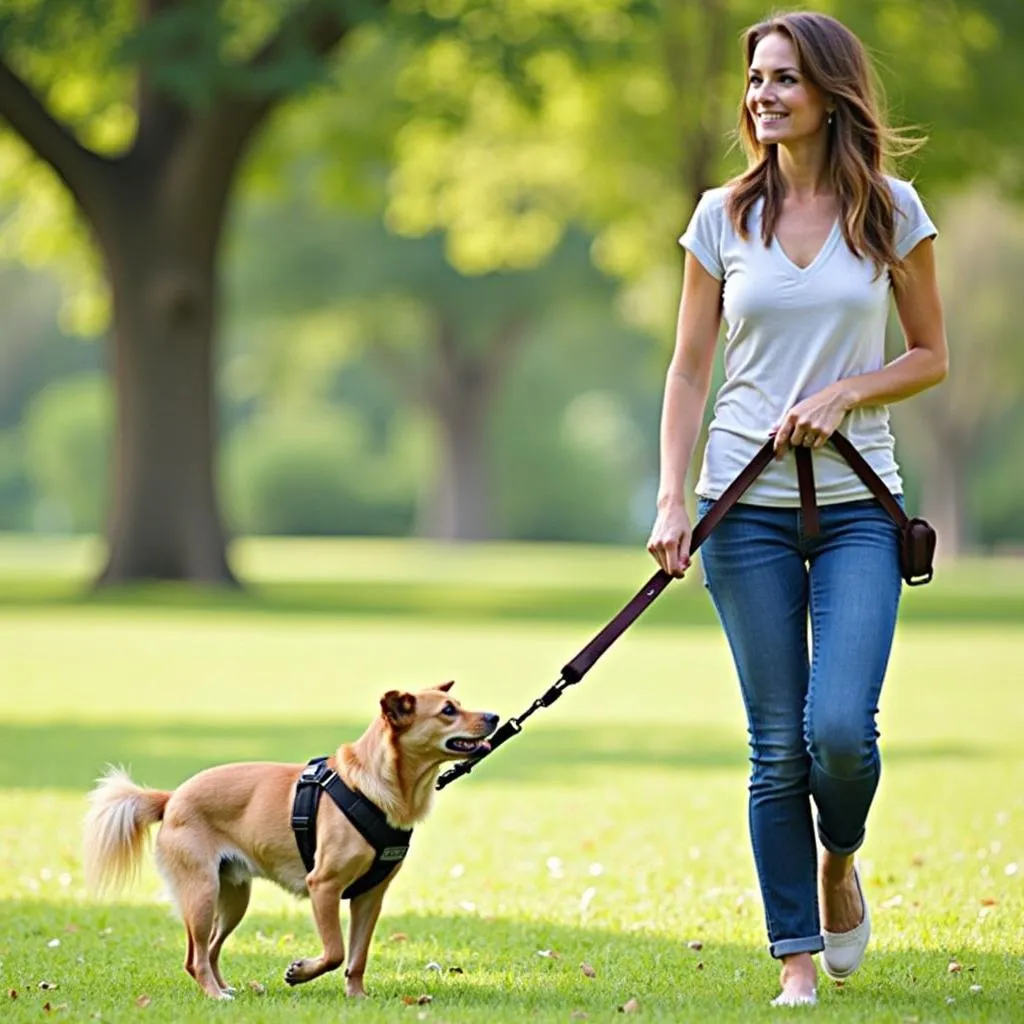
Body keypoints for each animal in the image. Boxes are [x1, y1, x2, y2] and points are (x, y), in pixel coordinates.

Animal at [82, 679, 495, 999]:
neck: (373, 787)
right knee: (196, 957)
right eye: (448, 711)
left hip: (234, 898)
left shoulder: (369, 897)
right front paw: (300, 972)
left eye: (458, 706)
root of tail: (171, 799)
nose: (493, 716)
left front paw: (357, 996)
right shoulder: (323, 886)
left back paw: (226, 988)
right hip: (201, 892)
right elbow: (336, 951)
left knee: (208, 951)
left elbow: (357, 956)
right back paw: (215, 995)